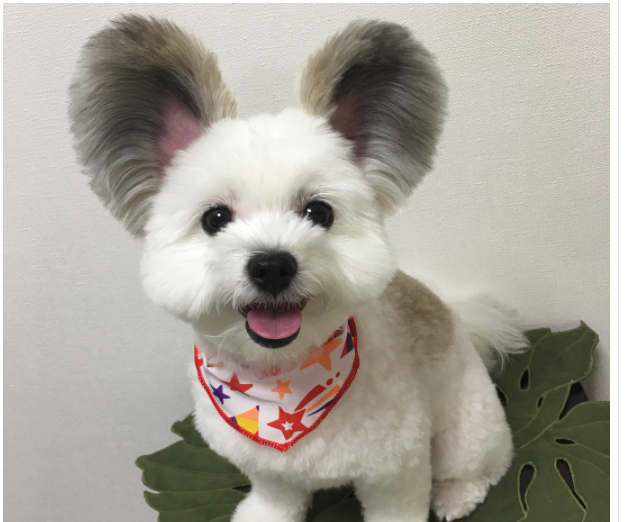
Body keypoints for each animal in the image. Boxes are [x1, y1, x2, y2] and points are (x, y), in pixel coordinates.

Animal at [69, 16, 528, 520]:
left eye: (319, 212)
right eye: (215, 218)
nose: (272, 265)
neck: (280, 382)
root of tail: (459, 319)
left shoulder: (397, 469)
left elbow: (399, 502)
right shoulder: (266, 465)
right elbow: (277, 496)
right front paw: (261, 514)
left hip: (466, 427)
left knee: (485, 465)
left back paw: (456, 495)